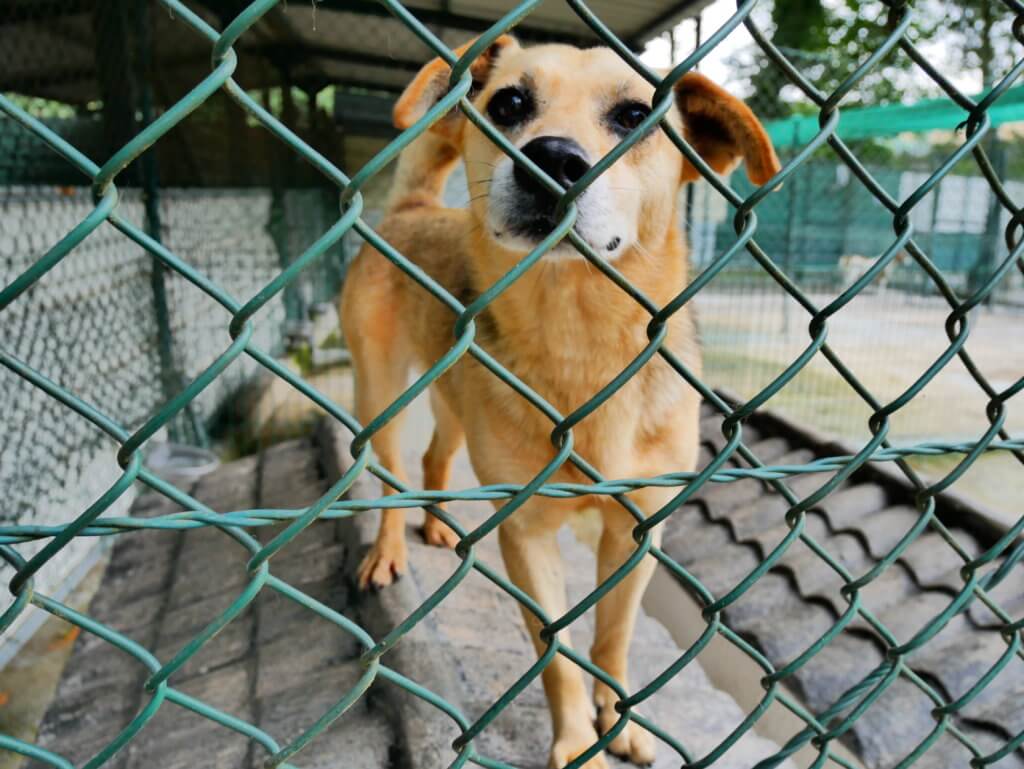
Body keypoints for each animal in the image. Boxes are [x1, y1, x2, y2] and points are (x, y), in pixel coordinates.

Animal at [339, 37, 778, 769]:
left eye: (634, 115)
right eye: (510, 102)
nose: (552, 159)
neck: (579, 339)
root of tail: (412, 209)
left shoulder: (638, 527)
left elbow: (611, 638)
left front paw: (620, 718)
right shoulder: (527, 532)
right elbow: (560, 656)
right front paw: (577, 742)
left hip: (452, 396)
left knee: (434, 457)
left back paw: (435, 524)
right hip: (382, 393)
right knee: (394, 471)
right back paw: (390, 551)